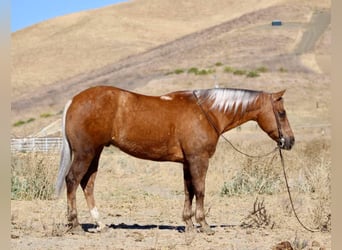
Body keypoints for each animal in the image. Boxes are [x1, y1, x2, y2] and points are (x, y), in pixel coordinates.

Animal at [55, 85, 294, 234]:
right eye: (282, 113)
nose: (290, 141)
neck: (208, 112)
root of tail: (73, 101)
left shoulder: (188, 162)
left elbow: (189, 191)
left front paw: (188, 223)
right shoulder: (199, 160)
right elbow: (200, 190)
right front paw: (203, 224)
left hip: (95, 153)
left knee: (87, 184)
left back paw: (100, 224)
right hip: (85, 153)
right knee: (72, 180)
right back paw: (75, 224)